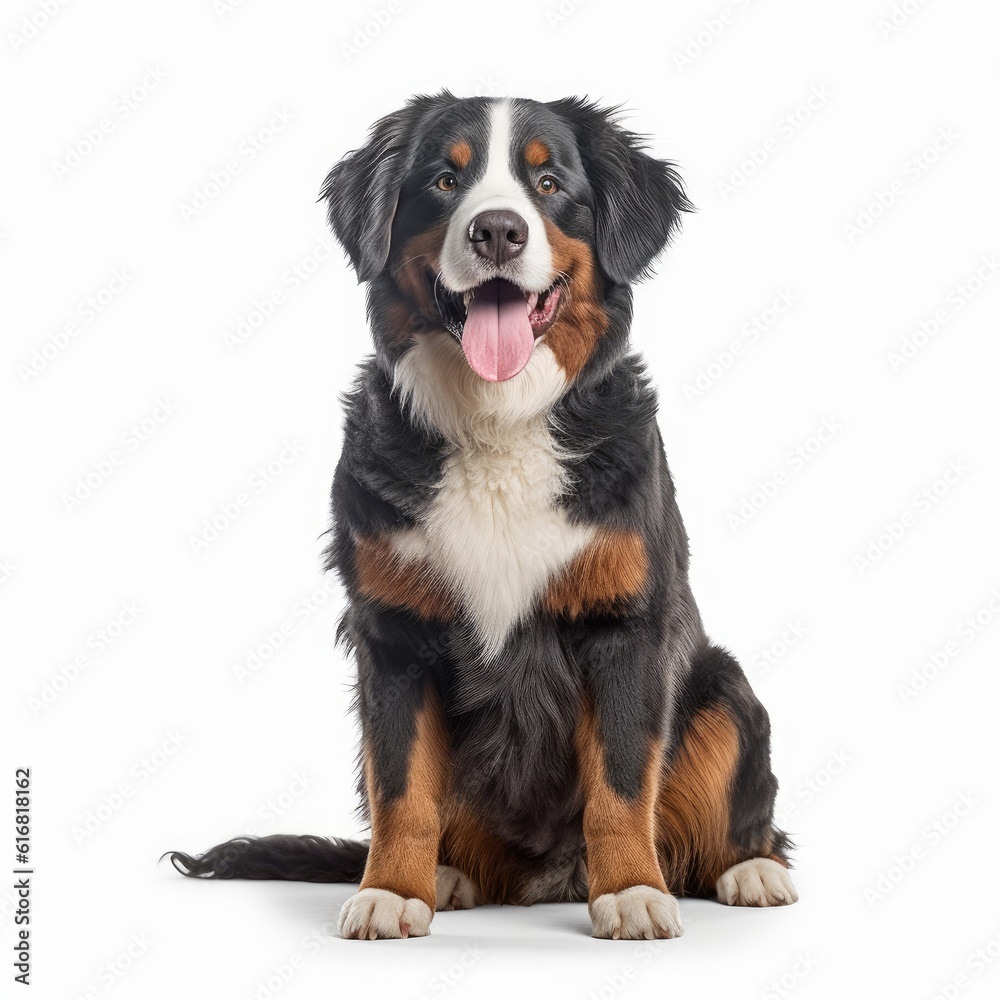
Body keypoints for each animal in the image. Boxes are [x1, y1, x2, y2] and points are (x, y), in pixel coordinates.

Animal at [170, 92, 796, 936]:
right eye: (445, 179)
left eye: (550, 182)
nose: (497, 230)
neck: (499, 422)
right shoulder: (392, 631)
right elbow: (402, 787)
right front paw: (391, 891)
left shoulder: (624, 624)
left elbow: (622, 782)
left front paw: (633, 889)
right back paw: (448, 875)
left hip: (723, 690)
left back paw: (749, 869)